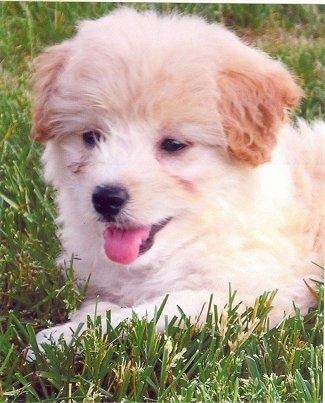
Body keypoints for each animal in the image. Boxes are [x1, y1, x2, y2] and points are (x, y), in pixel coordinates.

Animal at [29, 7, 322, 348]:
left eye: (173, 145)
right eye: (91, 137)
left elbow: (154, 312)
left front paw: (65, 335)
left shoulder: (252, 295)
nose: (106, 198)